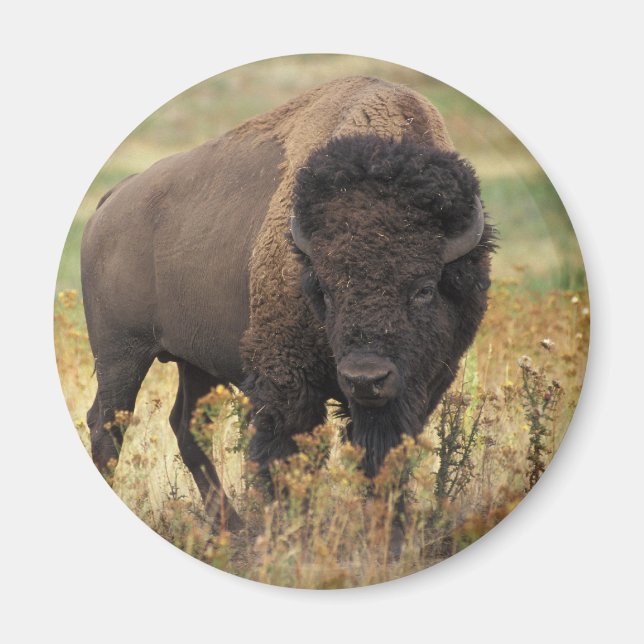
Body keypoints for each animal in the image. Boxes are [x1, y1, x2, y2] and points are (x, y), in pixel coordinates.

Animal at [81, 76, 495, 528]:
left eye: (423, 288)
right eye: (325, 289)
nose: (365, 378)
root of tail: (112, 200)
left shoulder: (421, 385)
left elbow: (383, 458)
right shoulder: (286, 380)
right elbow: (285, 457)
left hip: (194, 361)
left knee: (186, 427)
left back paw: (231, 527)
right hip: (121, 355)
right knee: (107, 426)